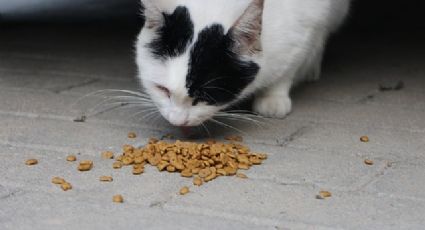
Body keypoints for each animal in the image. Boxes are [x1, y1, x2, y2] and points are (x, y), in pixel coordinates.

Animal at [134, 0, 350, 126]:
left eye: (205, 96)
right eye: (162, 89)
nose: (177, 121)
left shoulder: (307, 23)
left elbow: (289, 68)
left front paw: (273, 97)